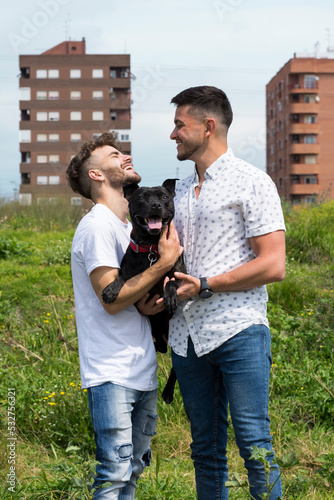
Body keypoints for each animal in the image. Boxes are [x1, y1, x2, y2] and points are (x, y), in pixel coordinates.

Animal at [102, 178, 185, 404]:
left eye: (164, 197)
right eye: (141, 198)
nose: (156, 205)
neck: (151, 248)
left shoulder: (182, 274)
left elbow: (171, 282)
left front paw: (170, 297)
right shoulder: (129, 272)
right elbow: (122, 277)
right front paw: (111, 290)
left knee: (176, 364)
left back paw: (168, 392)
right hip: (155, 327)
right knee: (162, 347)